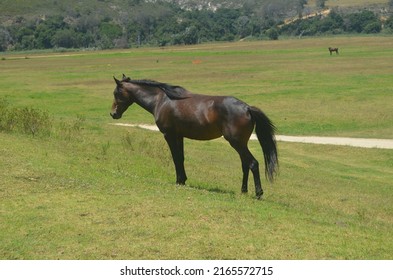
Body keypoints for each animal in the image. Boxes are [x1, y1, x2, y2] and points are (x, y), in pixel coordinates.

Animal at [108, 73, 278, 198]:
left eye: (116, 93)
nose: (113, 114)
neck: (162, 100)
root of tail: (247, 108)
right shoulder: (179, 136)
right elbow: (181, 158)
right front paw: (183, 180)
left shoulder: (169, 135)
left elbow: (175, 158)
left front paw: (179, 181)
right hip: (241, 144)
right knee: (245, 165)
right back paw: (243, 191)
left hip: (237, 143)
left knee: (253, 163)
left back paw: (258, 193)